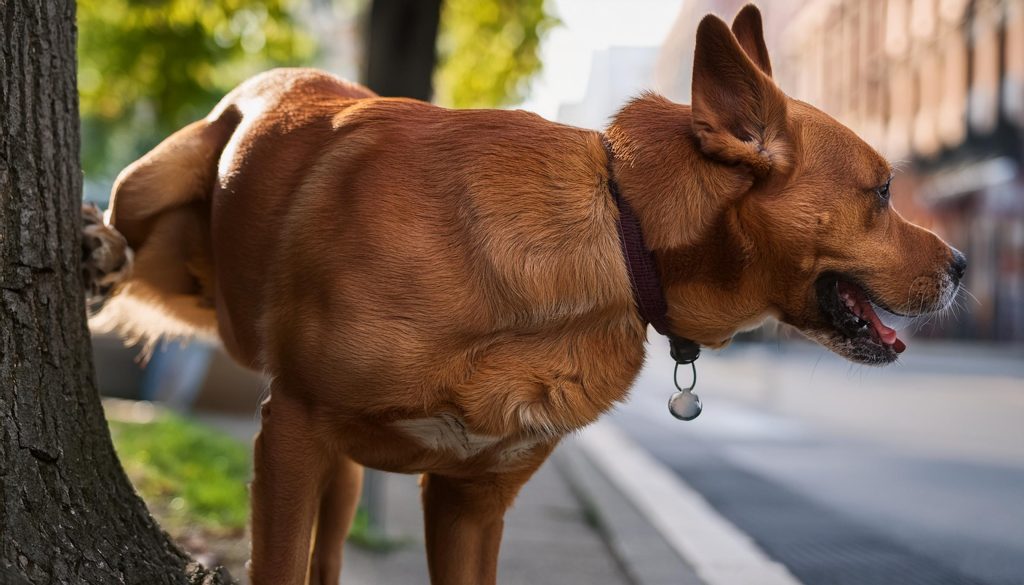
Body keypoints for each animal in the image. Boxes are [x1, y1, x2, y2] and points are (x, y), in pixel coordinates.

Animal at [83, 5, 962, 585]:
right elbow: (275, 566)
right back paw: (96, 252)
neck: (616, 229)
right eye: (883, 192)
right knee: (127, 231)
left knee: (328, 554)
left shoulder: (470, 500)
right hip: (154, 187)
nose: (961, 266)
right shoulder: (291, 430)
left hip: (343, 473)